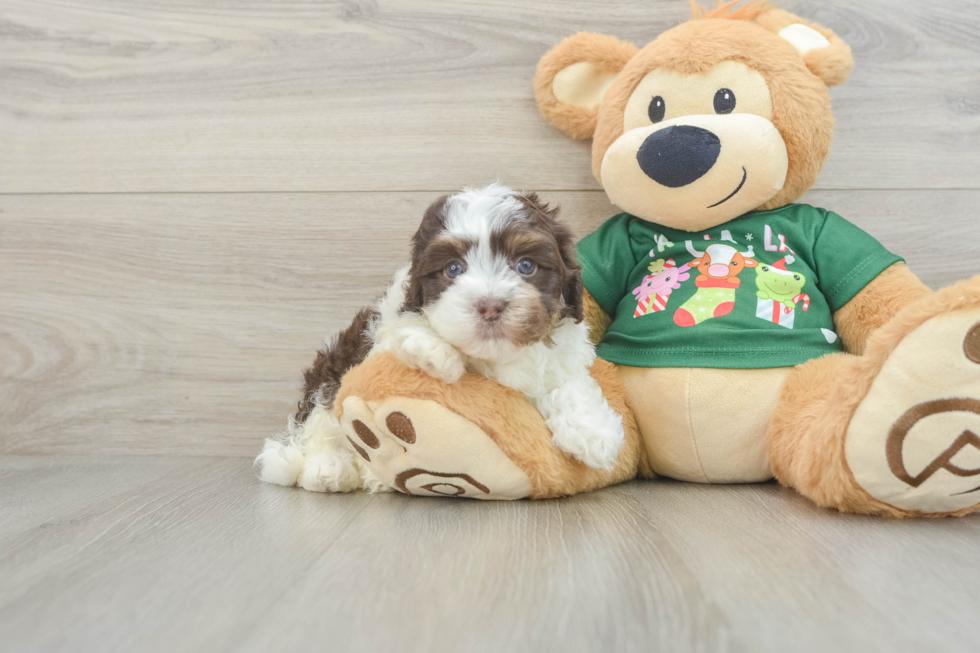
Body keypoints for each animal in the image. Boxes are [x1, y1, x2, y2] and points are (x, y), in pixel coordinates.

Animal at [256, 183, 624, 494]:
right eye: (453, 269)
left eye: (526, 265)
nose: (490, 305)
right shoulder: (380, 332)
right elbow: (407, 328)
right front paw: (433, 351)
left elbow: (568, 380)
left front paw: (594, 431)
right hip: (329, 374)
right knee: (317, 426)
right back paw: (329, 468)